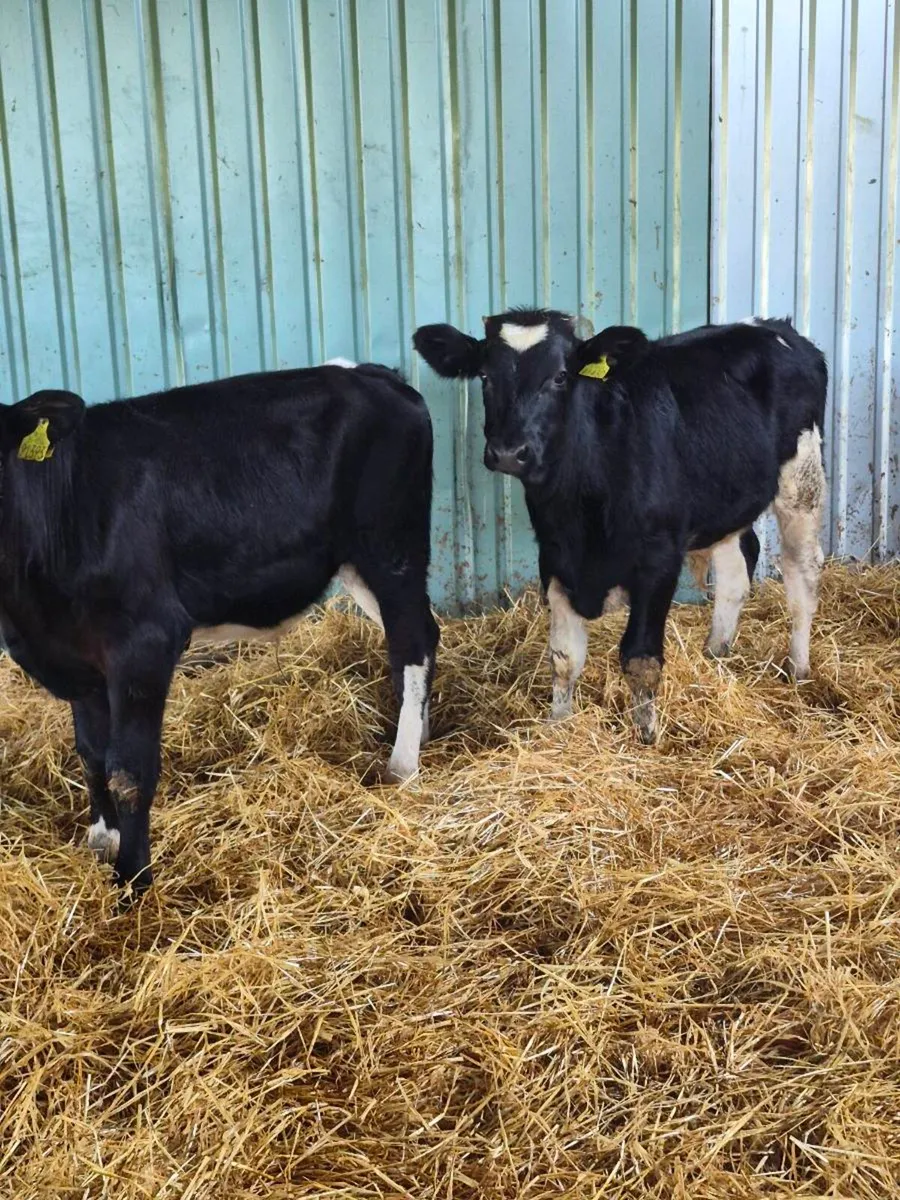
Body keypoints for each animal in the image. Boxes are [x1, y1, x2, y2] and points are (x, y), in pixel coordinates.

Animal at [0, 360, 438, 898]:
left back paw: (402, 765)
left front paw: (133, 881)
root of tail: (373, 373)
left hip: (391, 546)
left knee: (413, 641)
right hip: (359, 563)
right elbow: (90, 755)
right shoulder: (78, 658)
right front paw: (103, 841)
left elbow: (128, 770)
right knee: (415, 636)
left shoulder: (143, 643)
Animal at [413, 309, 827, 742]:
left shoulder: (659, 559)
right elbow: (564, 657)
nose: (509, 452)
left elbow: (640, 659)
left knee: (802, 571)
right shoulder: (556, 559)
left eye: (561, 376)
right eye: (484, 376)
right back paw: (715, 654)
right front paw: (559, 726)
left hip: (802, 477)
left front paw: (646, 736)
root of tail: (771, 324)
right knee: (736, 573)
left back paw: (798, 669)